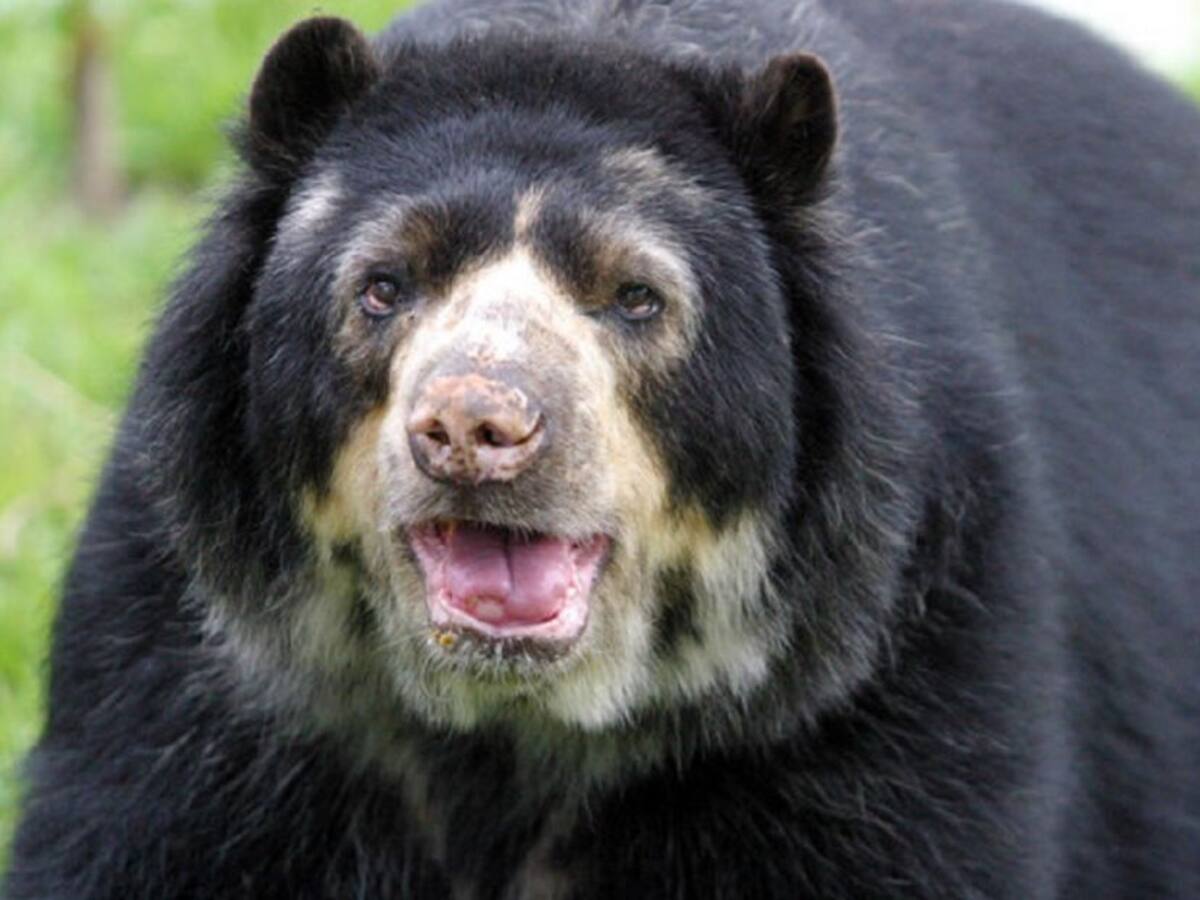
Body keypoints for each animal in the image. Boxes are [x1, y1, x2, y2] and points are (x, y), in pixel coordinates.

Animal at [5, 0, 1200, 897]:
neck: (508, 735)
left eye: (635, 297)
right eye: (382, 286)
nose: (474, 427)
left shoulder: (899, 663)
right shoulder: (195, 689)